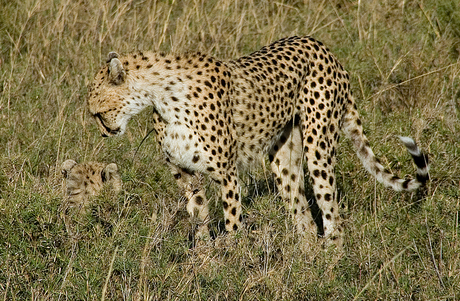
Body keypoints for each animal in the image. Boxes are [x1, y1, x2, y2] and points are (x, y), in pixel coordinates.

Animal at [86, 35, 428, 246]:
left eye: (97, 112)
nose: (103, 133)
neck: (160, 96)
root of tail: (322, 46)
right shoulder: (187, 176)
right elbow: (199, 220)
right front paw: (203, 260)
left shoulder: (226, 172)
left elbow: (232, 219)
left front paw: (233, 261)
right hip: (284, 159)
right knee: (303, 217)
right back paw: (308, 263)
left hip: (318, 147)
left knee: (330, 212)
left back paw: (332, 259)